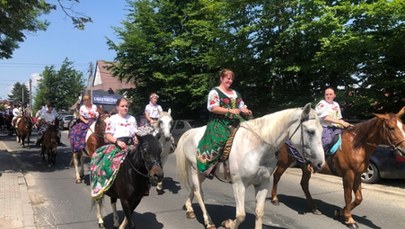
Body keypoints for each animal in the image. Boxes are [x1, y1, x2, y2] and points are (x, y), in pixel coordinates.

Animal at [175, 103, 324, 229]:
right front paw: (228, 224)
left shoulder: (263, 183)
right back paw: (209, 222)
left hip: (203, 173)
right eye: (311, 131)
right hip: (196, 170)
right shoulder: (239, 184)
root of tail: (190, 132)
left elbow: (259, 212)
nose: (320, 163)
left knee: (194, 189)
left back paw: (189, 209)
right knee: (199, 193)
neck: (257, 148)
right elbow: (241, 215)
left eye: (322, 130)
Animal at [270, 108, 405, 228]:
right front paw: (349, 219)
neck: (357, 146)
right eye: (391, 128)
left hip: (305, 167)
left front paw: (342, 212)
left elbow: (359, 198)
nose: (403, 150)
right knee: (277, 176)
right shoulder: (348, 174)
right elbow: (348, 196)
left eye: (403, 127)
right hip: (284, 161)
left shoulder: (357, 175)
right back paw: (275, 199)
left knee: (304, 184)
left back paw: (314, 208)